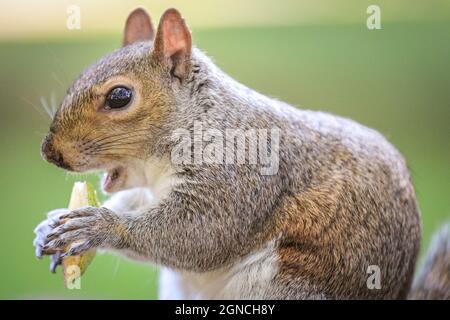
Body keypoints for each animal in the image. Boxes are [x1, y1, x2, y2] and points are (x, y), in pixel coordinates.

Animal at [33, 8, 448, 300]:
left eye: (120, 96)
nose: (50, 153)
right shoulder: (148, 189)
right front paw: (50, 223)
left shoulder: (240, 174)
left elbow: (201, 233)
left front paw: (101, 226)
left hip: (295, 285)